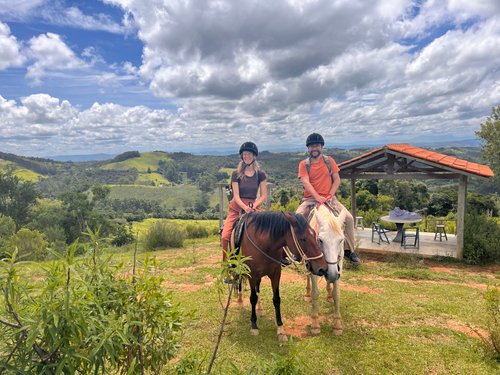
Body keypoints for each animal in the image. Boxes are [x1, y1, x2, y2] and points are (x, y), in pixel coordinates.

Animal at [238, 212, 328, 340]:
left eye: (315, 235)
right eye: (303, 239)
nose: (323, 268)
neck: (263, 244)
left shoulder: (275, 274)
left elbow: (276, 299)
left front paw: (280, 329)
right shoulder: (252, 275)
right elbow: (253, 298)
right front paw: (254, 325)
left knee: (258, 288)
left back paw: (260, 309)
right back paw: (240, 300)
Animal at [302, 204, 346, 336]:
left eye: (341, 240)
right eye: (320, 240)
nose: (332, 274)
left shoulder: (338, 265)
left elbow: (337, 293)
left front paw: (337, 325)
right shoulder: (314, 267)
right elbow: (315, 293)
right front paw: (315, 324)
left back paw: (329, 295)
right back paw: (307, 294)